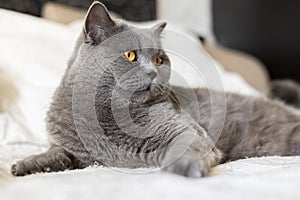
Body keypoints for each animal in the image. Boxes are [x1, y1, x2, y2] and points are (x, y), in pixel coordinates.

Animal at [10, 1, 300, 177]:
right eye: (130, 55)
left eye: (160, 60)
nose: (153, 72)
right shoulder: (70, 149)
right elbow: (57, 154)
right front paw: (25, 164)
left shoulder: (186, 129)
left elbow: (185, 146)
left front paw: (186, 167)